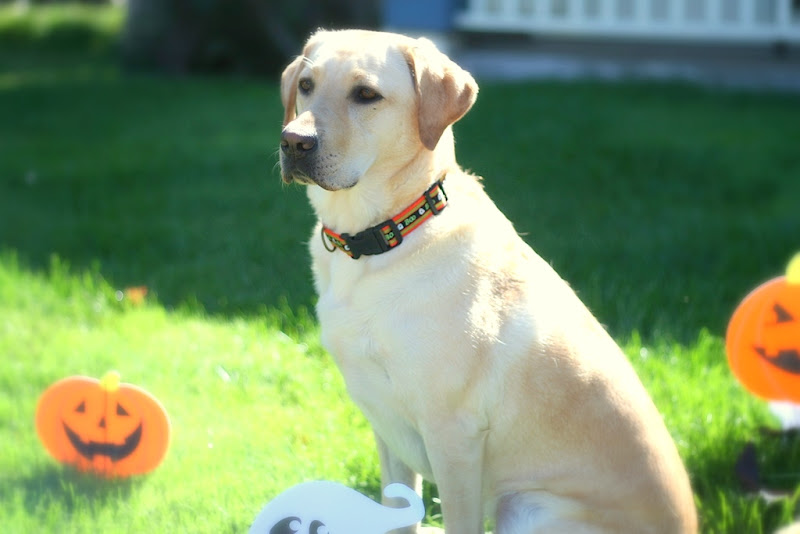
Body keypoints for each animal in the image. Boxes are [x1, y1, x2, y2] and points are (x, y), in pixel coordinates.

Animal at [278, 30, 696, 534]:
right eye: (306, 85)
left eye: (366, 95)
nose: (293, 142)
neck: (385, 238)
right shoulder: (387, 428)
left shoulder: (453, 435)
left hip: (529, 507)